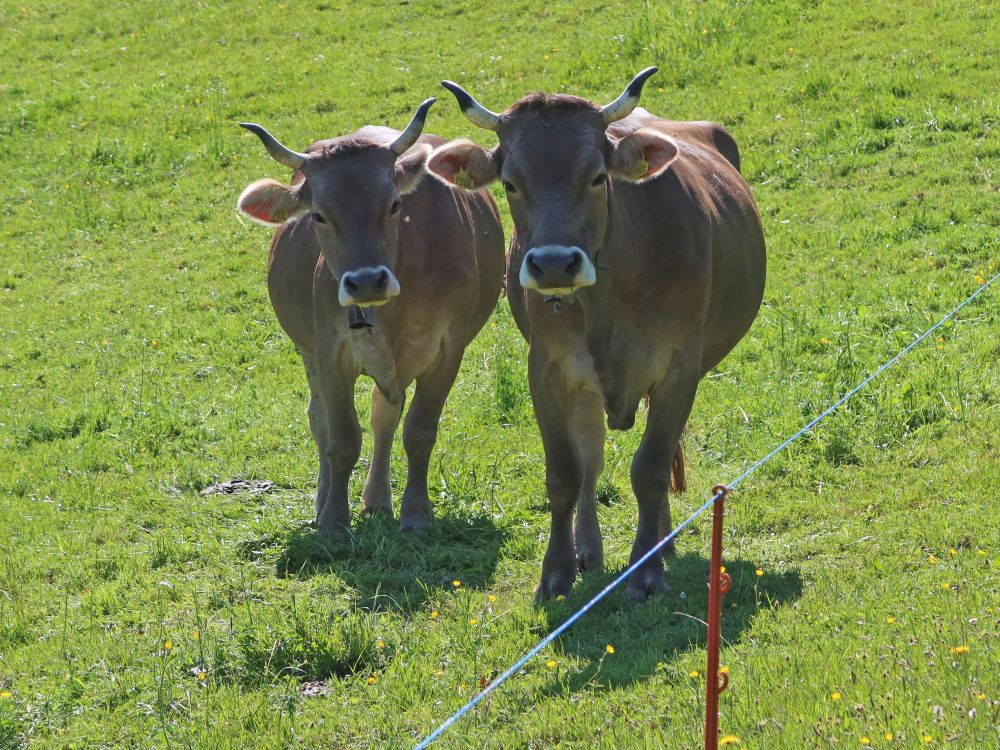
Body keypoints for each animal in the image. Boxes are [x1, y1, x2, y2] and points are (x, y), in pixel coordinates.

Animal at [237, 99, 505, 533]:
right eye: (318, 216)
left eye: (394, 204)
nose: (365, 282)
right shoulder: (330, 351)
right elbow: (342, 438)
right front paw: (333, 519)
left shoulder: (449, 350)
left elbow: (418, 431)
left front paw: (415, 512)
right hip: (309, 353)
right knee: (320, 418)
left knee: (384, 416)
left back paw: (378, 499)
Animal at [427, 68, 766, 600]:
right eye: (510, 183)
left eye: (597, 177)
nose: (552, 264)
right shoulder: (547, 369)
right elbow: (566, 474)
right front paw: (556, 571)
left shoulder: (679, 366)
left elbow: (650, 469)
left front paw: (646, 571)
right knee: (591, 461)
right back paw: (588, 548)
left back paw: (660, 543)